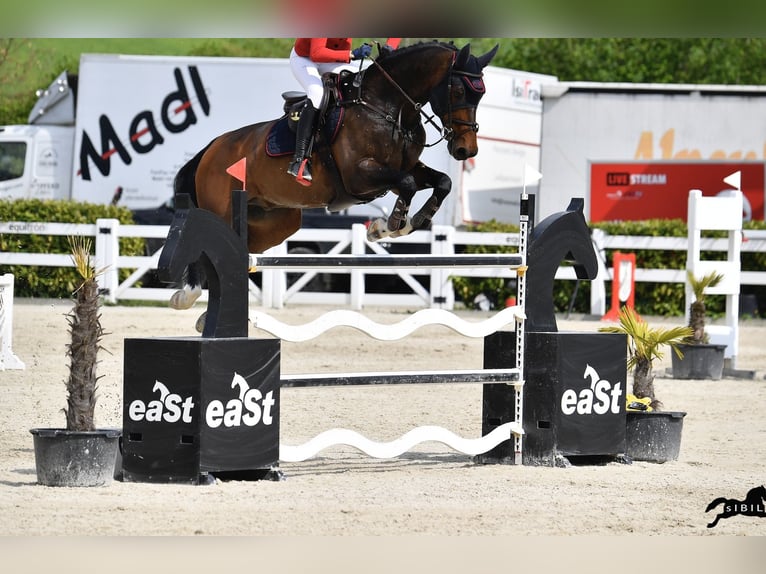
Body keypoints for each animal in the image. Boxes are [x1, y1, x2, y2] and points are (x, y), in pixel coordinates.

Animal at [171, 41, 500, 312]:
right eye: (459, 91)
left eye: (481, 93)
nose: (465, 150)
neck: (387, 107)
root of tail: (211, 148)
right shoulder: (361, 176)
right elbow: (407, 185)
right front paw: (389, 226)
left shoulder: (405, 169)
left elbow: (442, 182)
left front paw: (406, 224)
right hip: (222, 208)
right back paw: (187, 296)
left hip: (276, 222)